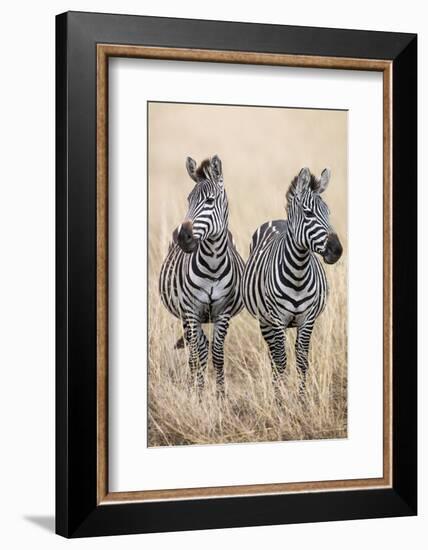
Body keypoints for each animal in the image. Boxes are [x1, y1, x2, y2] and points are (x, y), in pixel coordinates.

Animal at [158, 155, 244, 396]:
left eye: (210, 201)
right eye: (188, 200)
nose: (183, 237)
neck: (213, 265)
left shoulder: (223, 312)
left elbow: (217, 353)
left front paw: (220, 395)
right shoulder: (190, 311)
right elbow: (199, 353)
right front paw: (197, 394)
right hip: (186, 317)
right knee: (195, 350)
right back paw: (193, 386)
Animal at [242, 167, 342, 396]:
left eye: (329, 212)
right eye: (309, 213)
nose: (337, 250)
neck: (298, 272)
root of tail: (278, 220)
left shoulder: (307, 319)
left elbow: (302, 361)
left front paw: (302, 399)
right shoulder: (277, 319)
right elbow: (280, 362)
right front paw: (280, 401)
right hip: (265, 321)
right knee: (273, 356)